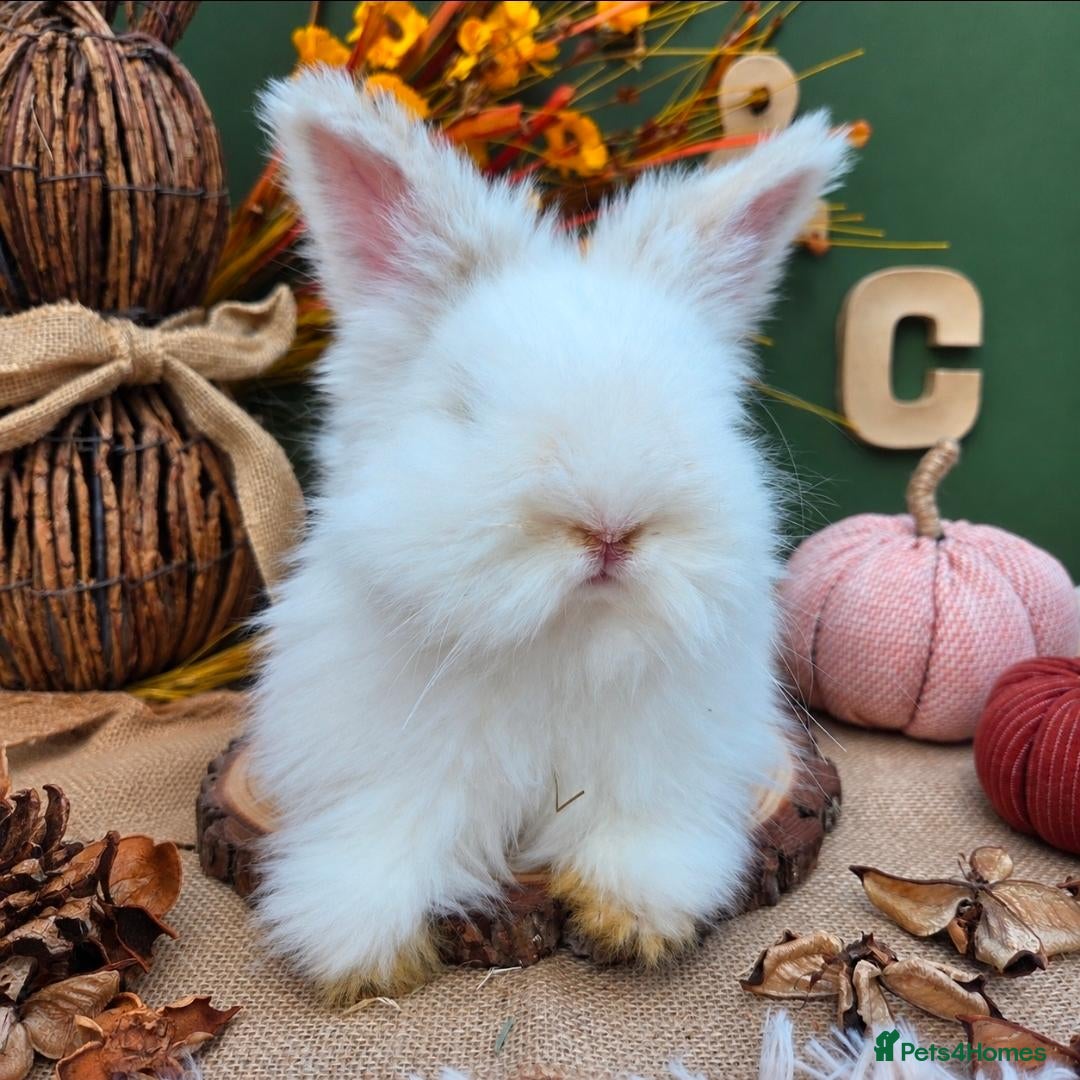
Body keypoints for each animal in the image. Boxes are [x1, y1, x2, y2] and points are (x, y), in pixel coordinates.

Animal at [249, 68, 851, 1004]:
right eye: (466, 408)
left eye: (703, 410)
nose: (610, 529)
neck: (561, 644)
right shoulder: (389, 766)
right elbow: (388, 837)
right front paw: (356, 952)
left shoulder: (663, 765)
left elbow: (641, 835)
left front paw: (634, 918)